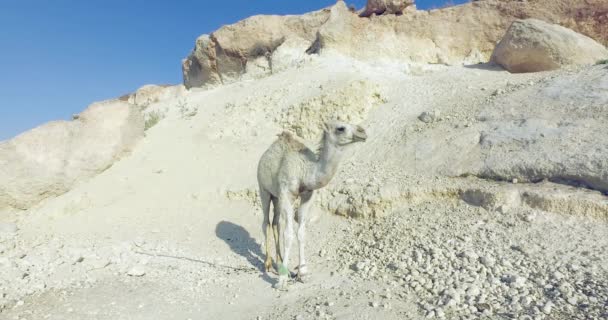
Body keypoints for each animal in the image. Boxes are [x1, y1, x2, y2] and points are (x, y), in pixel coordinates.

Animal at [255, 120, 366, 290]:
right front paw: (282, 280)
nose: (363, 132)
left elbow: (301, 232)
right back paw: (268, 264)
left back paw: (279, 262)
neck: (306, 171)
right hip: (264, 189)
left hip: (276, 197)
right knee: (265, 222)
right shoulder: (287, 194)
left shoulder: (307, 195)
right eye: (340, 128)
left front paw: (303, 273)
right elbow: (289, 234)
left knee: (275, 223)